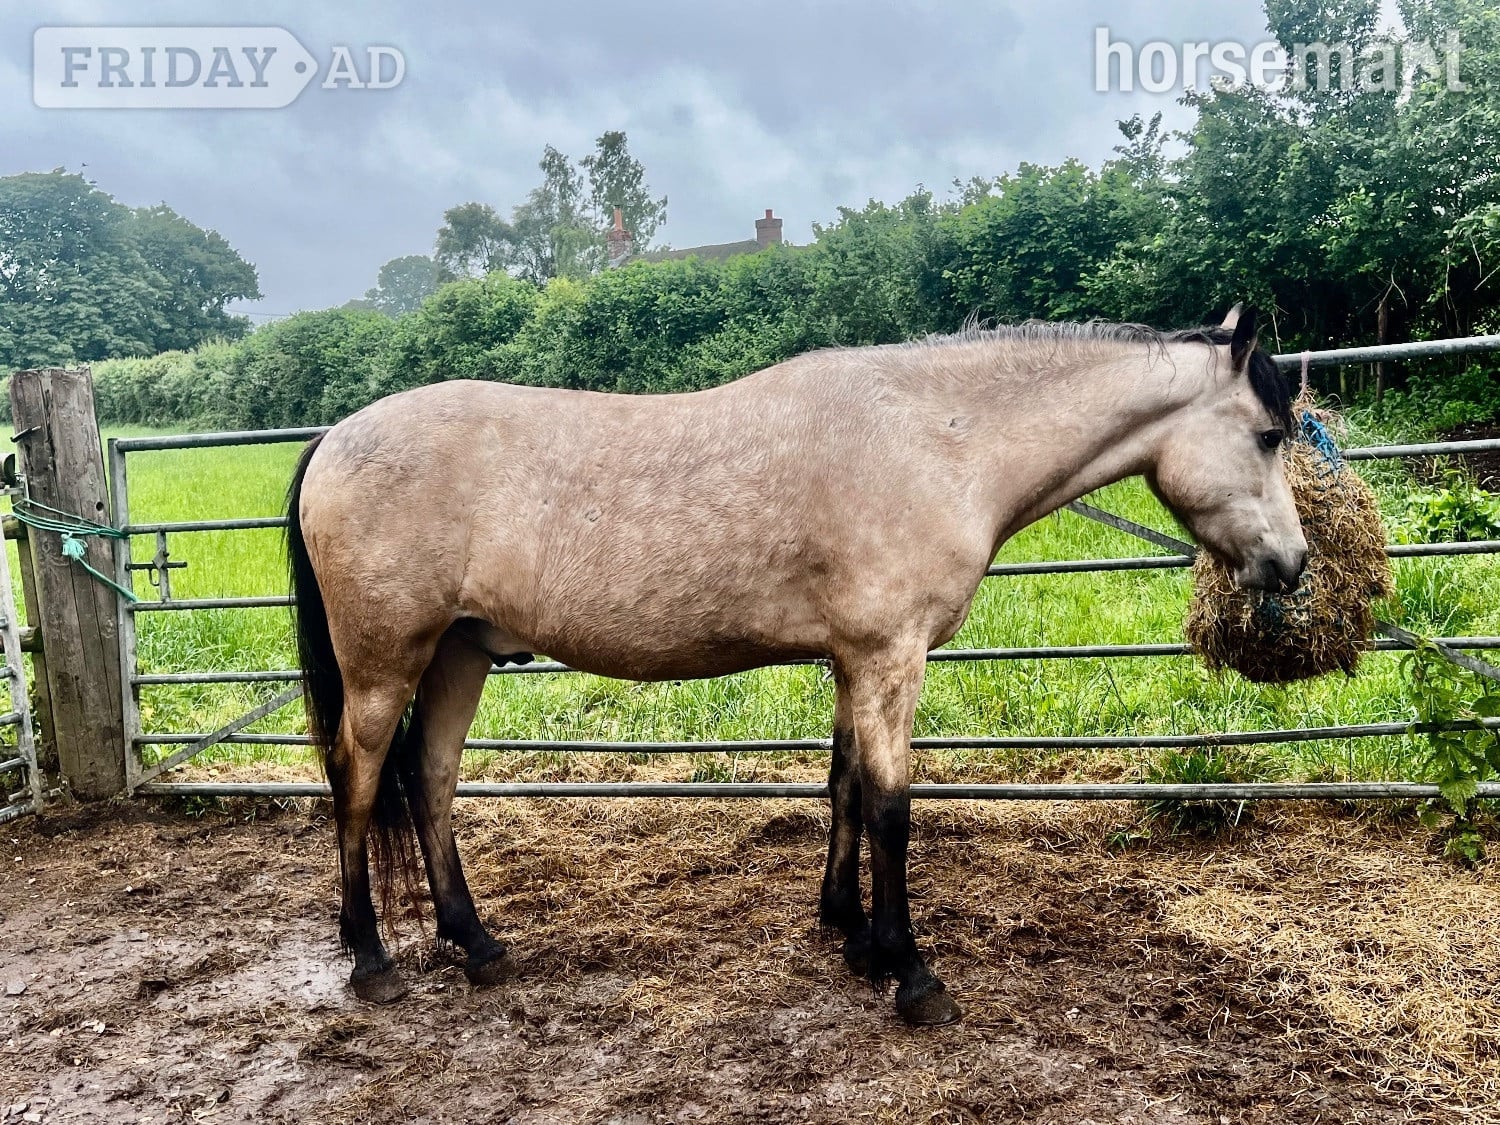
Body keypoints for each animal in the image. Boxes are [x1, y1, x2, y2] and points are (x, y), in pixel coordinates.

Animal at [286, 305, 1304, 1026]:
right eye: (1268, 435)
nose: (1292, 564)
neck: (938, 438)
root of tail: (335, 436)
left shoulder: (856, 659)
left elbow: (845, 784)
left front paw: (849, 931)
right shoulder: (891, 657)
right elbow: (892, 806)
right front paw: (911, 972)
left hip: (461, 654)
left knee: (430, 778)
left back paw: (477, 941)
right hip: (386, 664)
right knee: (359, 779)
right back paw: (370, 959)